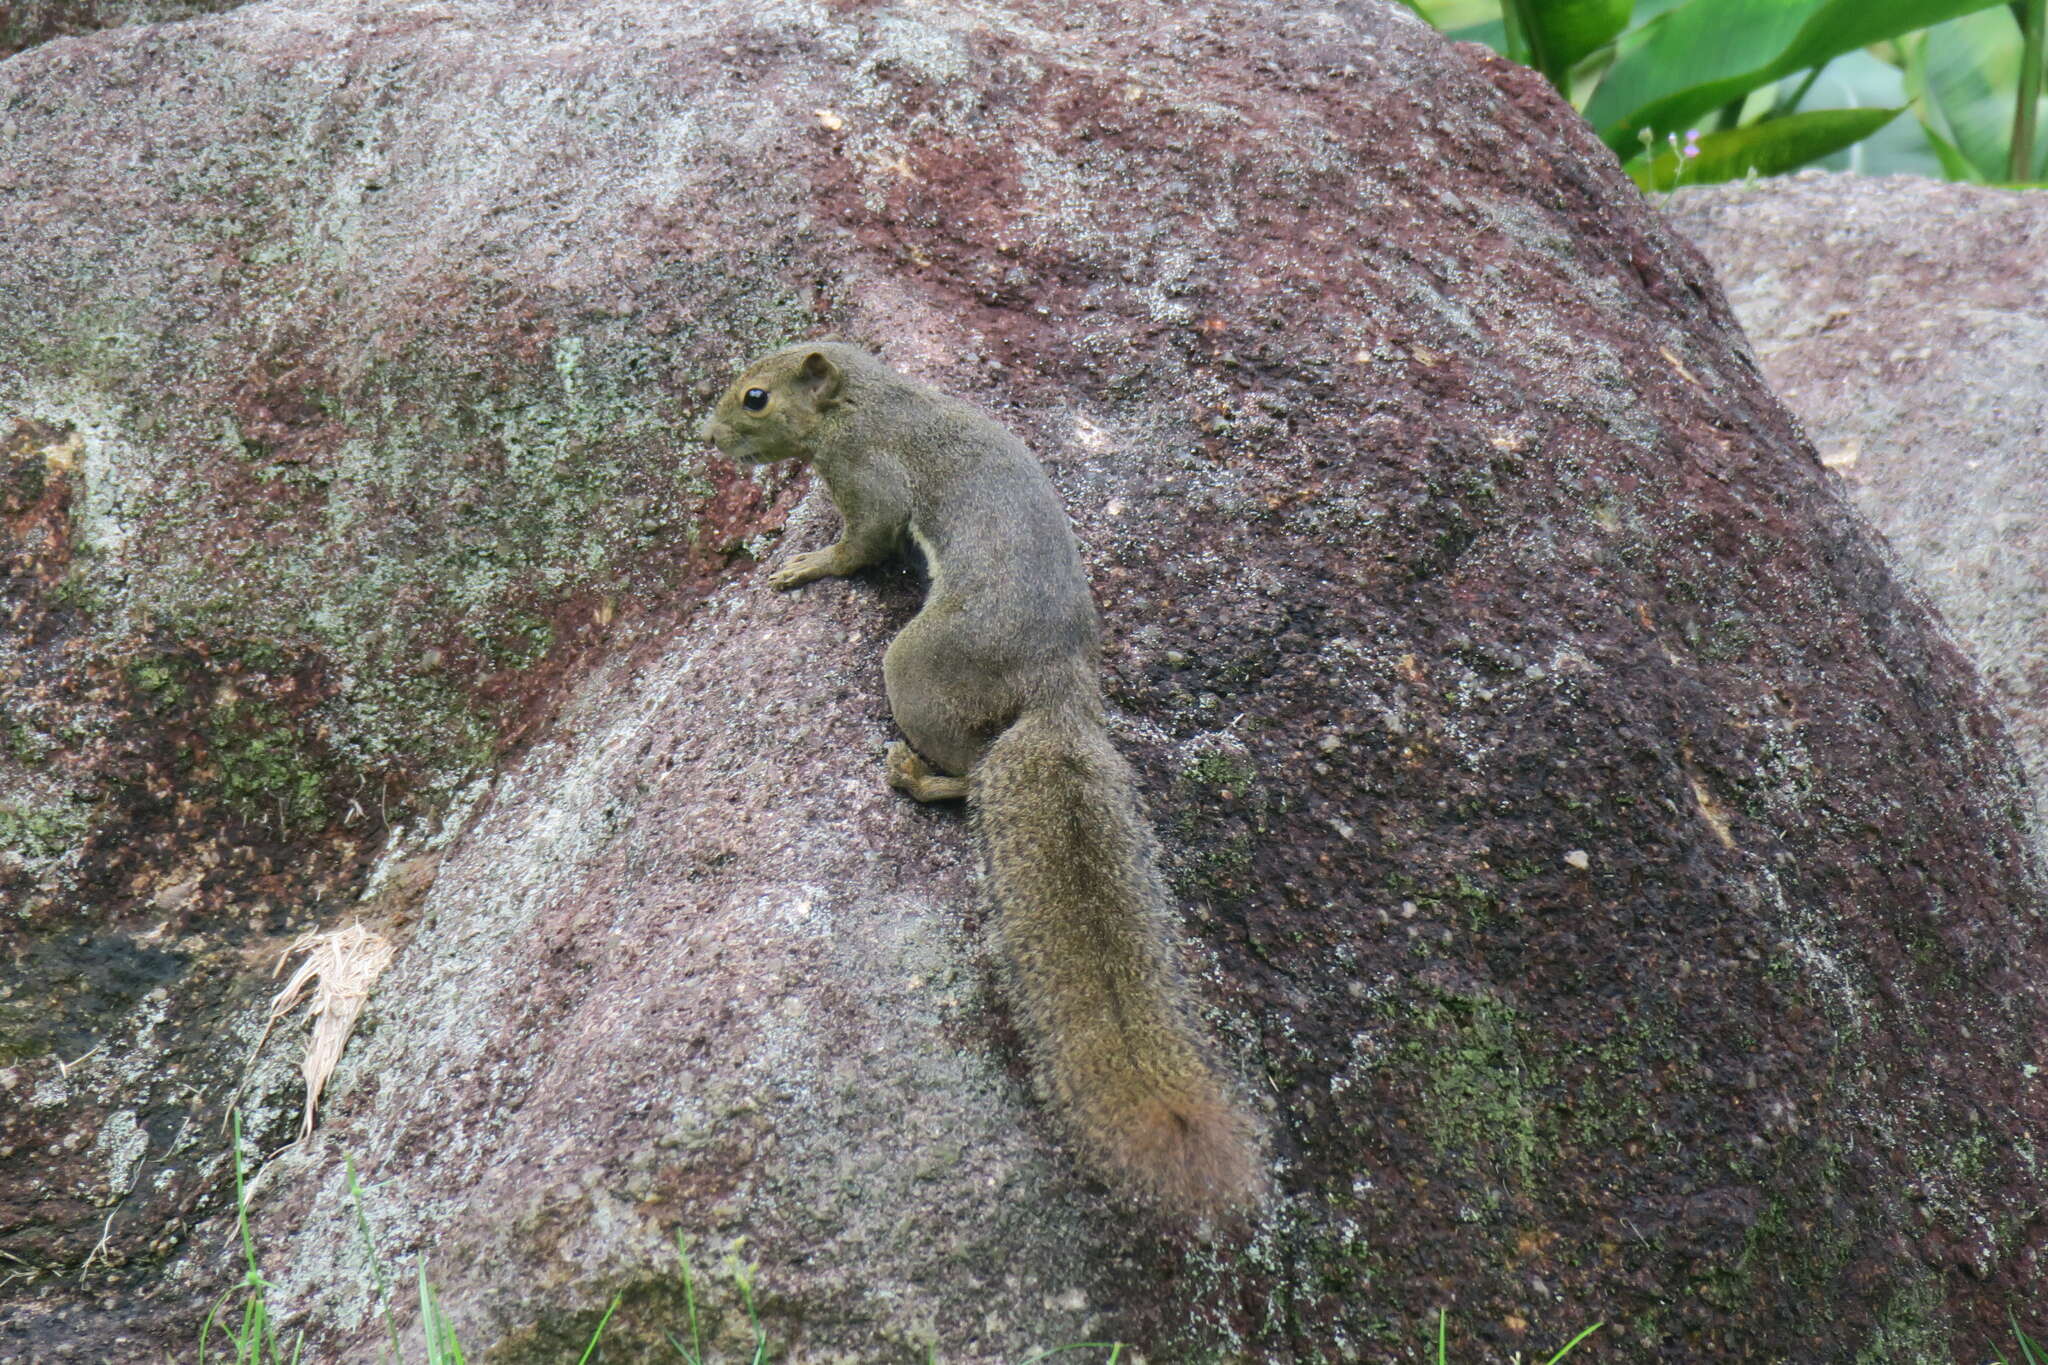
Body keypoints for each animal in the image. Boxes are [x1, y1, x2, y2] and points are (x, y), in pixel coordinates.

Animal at [704, 341, 1269, 1219]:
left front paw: (804, 562)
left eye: (755, 398)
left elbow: (862, 541)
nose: (709, 436)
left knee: (968, 776)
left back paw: (914, 775)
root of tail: (1058, 688)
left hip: (917, 665)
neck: (866, 397)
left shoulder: (867, 472)